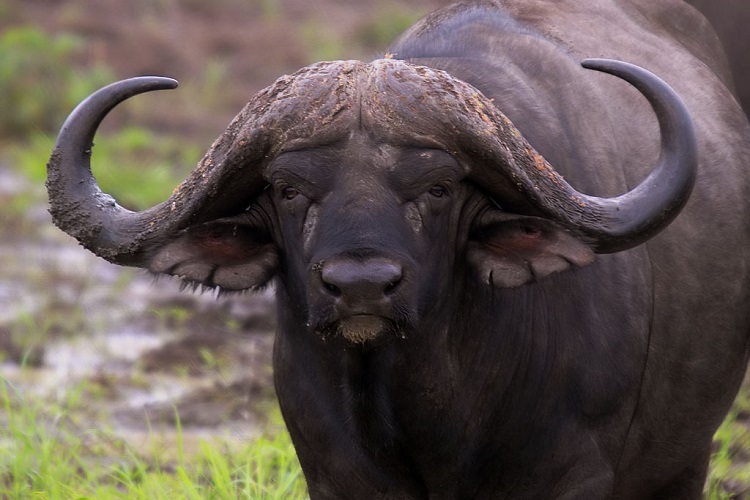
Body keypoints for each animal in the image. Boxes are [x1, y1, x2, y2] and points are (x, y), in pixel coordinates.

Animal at [45, 0, 750, 498]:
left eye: (438, 187)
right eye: (288, 188)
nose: (360, 286)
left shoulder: (572, 475)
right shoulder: (336, 478)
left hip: (685, 460)